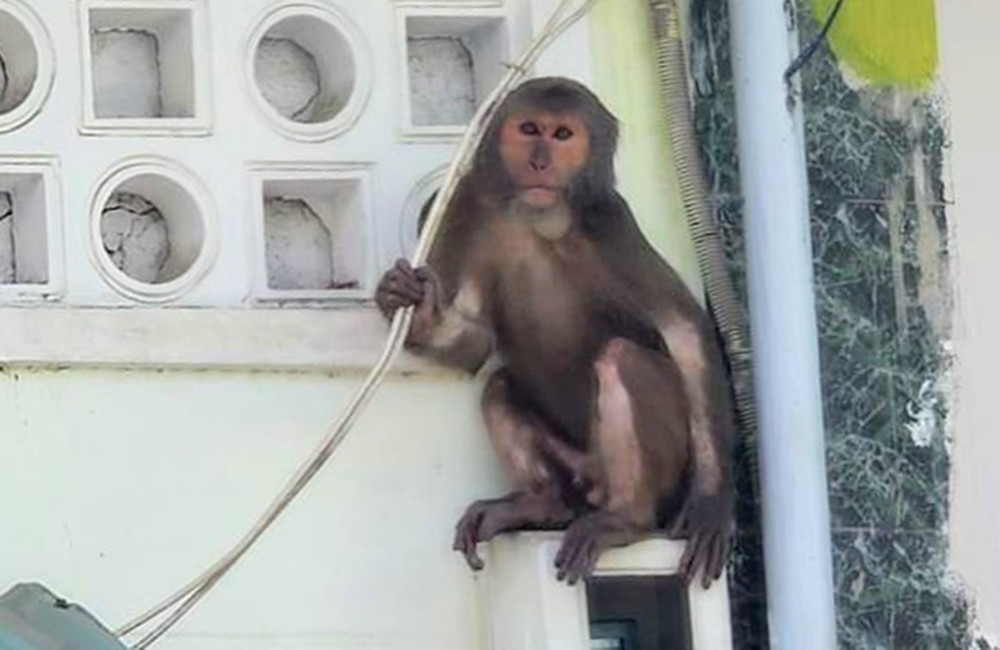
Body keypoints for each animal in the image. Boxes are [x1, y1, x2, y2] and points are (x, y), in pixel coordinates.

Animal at [376, 77, 735, 587]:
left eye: (563, 135)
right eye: (529, 129)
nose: (540, 161)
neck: (538, 218)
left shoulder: (609, 220)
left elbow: (683, 329)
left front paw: (711, 505)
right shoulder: (464, 207)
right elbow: (475, 343)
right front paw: (413, 305)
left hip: (660, 471)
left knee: (621, 356)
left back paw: (626, 519)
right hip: (575, 470)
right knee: (500, 383)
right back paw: (541, 503)